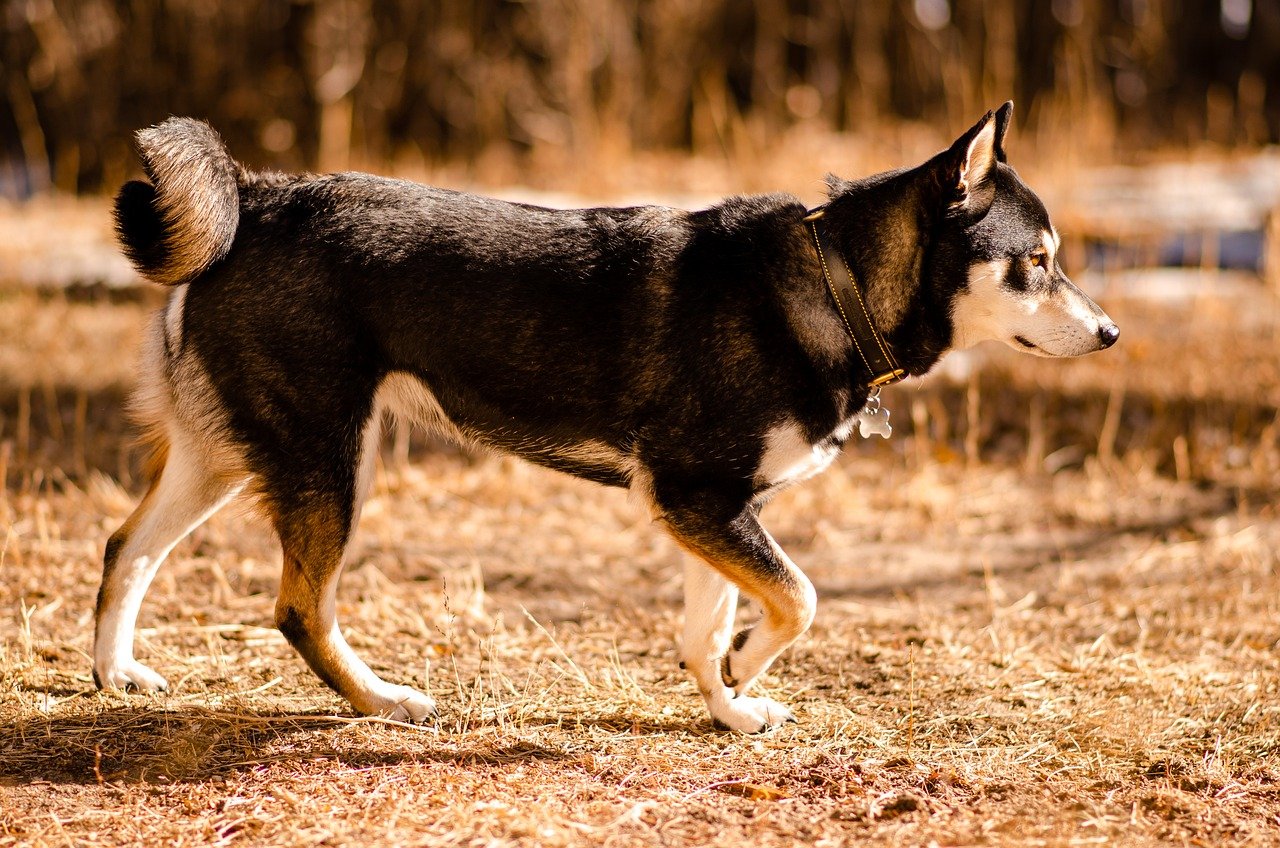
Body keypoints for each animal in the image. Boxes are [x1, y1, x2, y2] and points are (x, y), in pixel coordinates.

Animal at [92, 104, 1111, 732]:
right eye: (1038, 260)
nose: (1109, 332)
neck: (836, 284)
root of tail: (255, 198)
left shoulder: (712, 511)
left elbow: (708, 626)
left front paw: (731, 706)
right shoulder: (700, 498)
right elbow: (798, 598)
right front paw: (750, 670)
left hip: (226, 459)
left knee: (125, 548)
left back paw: (113, 677)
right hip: (329, 462)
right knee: (300, 609)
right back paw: (382, 702)